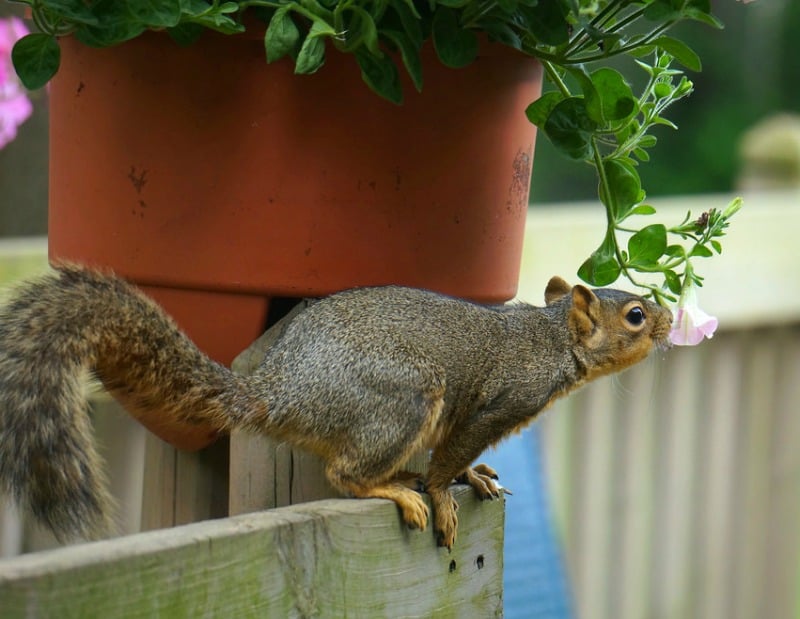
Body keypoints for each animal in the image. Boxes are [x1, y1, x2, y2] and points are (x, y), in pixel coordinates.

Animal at [0, 266, 676, 548]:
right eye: (635, 315)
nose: (671, 319)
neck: (551, 338)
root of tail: (281, 392)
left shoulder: (469, 418)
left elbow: (457, 455)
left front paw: (475, 476)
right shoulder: (498, 403)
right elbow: (449, 457)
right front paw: (442, 494)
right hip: (403, 399)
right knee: (344, 473)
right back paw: (398, 488)